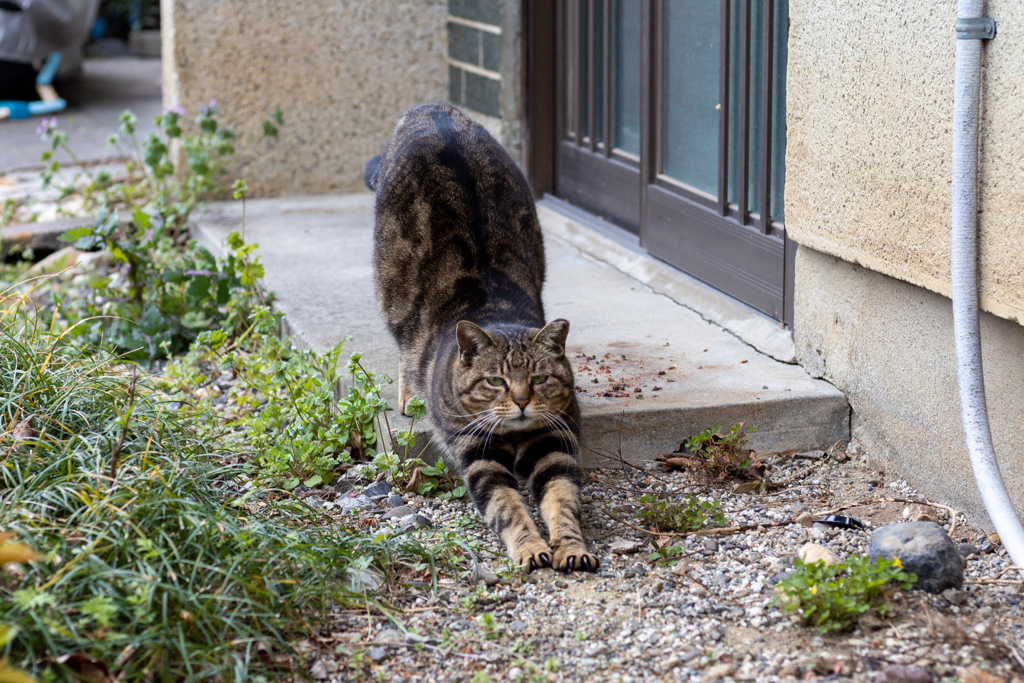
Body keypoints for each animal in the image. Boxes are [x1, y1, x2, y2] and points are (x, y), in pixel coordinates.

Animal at [364, 101, 598, 573]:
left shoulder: (555, 443)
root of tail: (429, 108)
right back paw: (408, 393)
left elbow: (563, 502)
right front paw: (528, 547)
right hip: (390, 291)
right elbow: (507, 507)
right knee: (403, 346)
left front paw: (571, 547)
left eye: (539, 380)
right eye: (496, 381)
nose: (523, 401)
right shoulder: (478, 453)